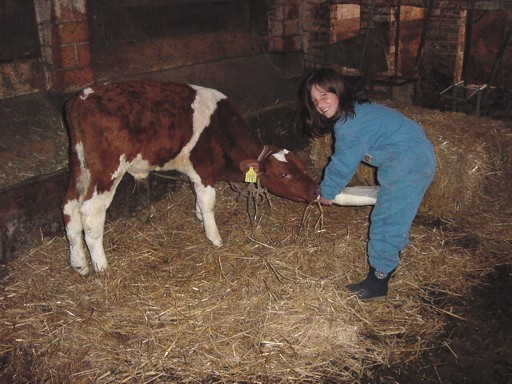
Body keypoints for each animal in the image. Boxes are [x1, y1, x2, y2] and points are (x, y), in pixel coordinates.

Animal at [62, 81, 318, 274]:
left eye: (301, 165)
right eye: (284, 174)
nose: (315, 190)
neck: (221, 130)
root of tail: (81, 98)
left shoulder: (196, 173)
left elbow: (198, 198)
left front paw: (199, 217)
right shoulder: (204, 170)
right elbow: (208, 203)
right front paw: (214, 238)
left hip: (79, 166)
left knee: (69, 209)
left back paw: (80, 264)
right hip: (107, 169)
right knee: (91, 213)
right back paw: (101, 265)